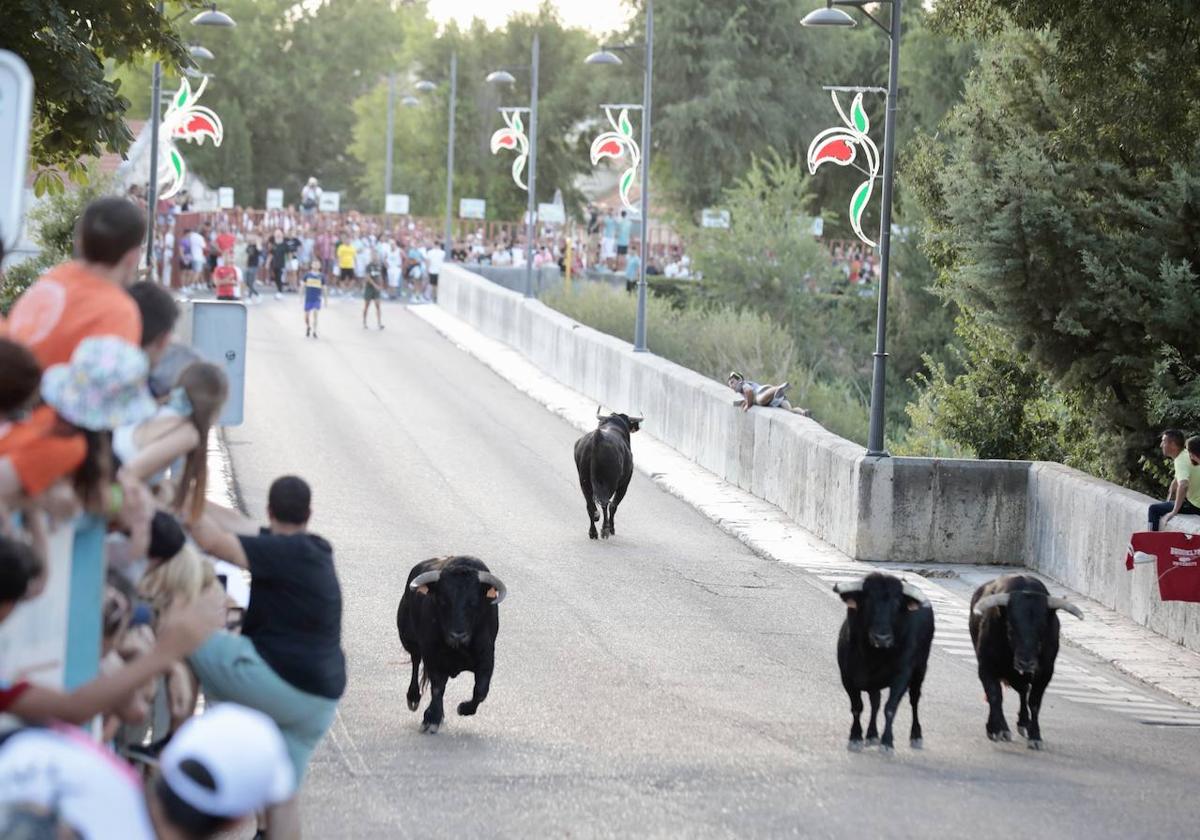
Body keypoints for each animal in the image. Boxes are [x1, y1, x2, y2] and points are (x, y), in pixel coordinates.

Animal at [396, 554, 504, 729]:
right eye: (443, 601)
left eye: (473, 603)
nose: (458, 635)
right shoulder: (433, 656)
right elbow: (437, 687)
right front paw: (432, 719)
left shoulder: (486, 657)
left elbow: (481, 690)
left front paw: (463, 708)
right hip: (410, 640)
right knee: (415, 661)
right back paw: (413, 698)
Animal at [835, 573, 936, 753]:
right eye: (868, 601)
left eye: (896, 604)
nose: (882, 638)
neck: (875, 656)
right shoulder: (847, 677)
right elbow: (857, 707)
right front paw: (855, 737)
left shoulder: (902, 676)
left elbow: (890, 708)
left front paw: (887, 742)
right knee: (875, 703)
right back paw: (872, 735)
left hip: (920, 670)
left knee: (914, 700)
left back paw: (916, 736)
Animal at [969, 573, 1084, 753]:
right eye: (1010, 628)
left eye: (1042, 630)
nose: (1026, 663)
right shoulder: (986, 667)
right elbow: (995, 695)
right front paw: (997, 729)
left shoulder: (1045, 672)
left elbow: (1034, 702)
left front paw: (1035, 736)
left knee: (1023, 691)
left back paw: (1024, 723)